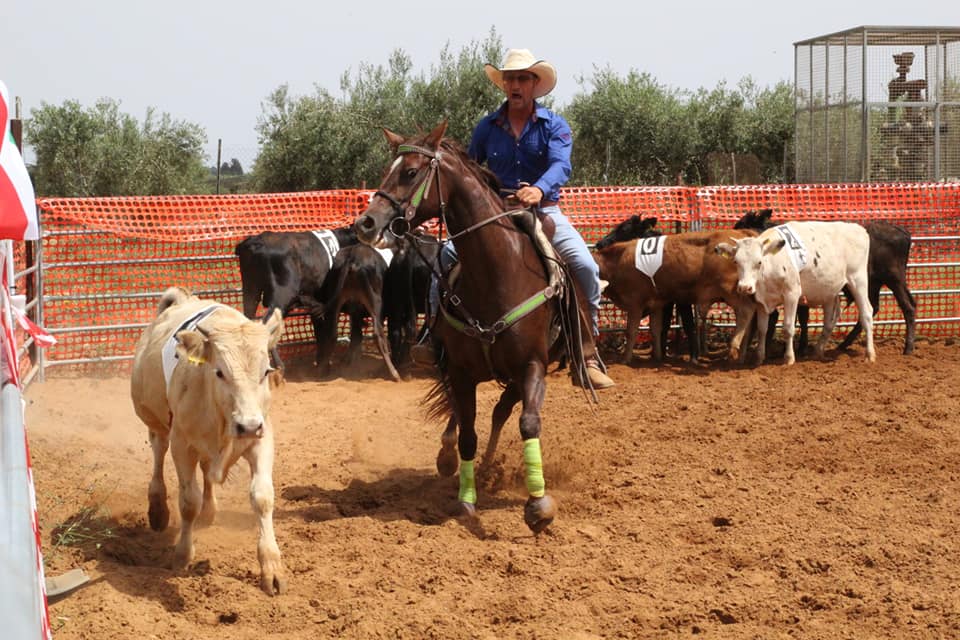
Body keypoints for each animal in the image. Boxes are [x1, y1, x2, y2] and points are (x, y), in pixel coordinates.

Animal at [132, 284, 288, 596]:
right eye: (219, 372)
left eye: (266, 371)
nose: (247, 425)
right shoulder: (182, 444)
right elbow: (187, 501)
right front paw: (182, 556)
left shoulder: (262, 437)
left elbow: (262, 497)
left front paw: (271, 568)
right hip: (156, 422)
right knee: (158, 452)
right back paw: (158, 508)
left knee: (206, 470)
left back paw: (209, 510)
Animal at [356, 121, 588, 536]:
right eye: (388, 169)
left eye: (410, 172)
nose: (366, 223)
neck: (497, 273)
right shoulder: (462, 370)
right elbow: (466, 433)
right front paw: (465, 500)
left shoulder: (533, 366)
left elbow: (527, 423)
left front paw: (538, 505)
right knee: (464, 416)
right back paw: (451, 458)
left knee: (501, 412)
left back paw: (490, 465)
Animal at [592, 230, 756, 362]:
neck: (617, 261)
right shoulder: (656, 304)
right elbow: (655, 329)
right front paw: (657, 357)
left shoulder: (635, 304)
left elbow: (631, 332)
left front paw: (625, 360)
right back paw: (742, 354)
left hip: (733, 291)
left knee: (746, 312)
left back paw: (734, 348)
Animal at [712, 222, 876, 364]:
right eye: (736, 262)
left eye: (759, 262)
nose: (745, 287)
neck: (771, 264)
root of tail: (859, 229)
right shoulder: (761, 301)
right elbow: (762, 329)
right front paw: (759, 358)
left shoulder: (792, 294)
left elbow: (788, 327)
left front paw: (789, 358)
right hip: (829, 291)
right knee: (830, 319)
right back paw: (818, 351)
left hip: (858, 280)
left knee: (867, 313)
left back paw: (870, 354)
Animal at [732, 209, 920, 356]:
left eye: (741, 224)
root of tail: (902, 231)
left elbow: (800, 317)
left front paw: (799, 348)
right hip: (874, 284)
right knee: (874, 307)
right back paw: (844, 344)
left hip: (893, 280)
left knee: (907, 306)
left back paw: (908, 347)